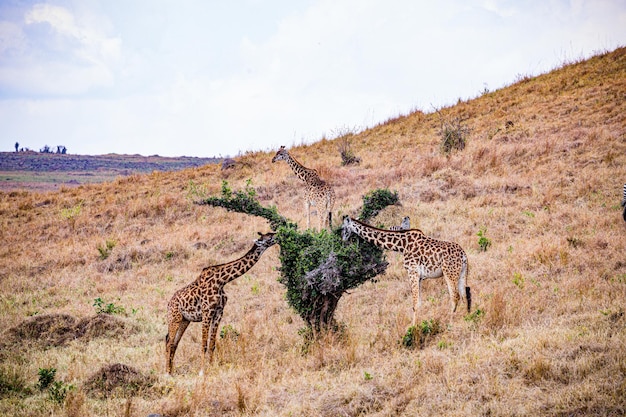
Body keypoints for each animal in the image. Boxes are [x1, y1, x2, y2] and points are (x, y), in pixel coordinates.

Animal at [165, 231, 274, 374]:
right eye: (269, 237)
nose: (278, 236)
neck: (222, 281)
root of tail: (168, 304)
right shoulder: (207, 312)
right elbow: (204, 344)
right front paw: (202, 371)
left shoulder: (218, 312)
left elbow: (212, 344)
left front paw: (211, 367)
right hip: (174, 318)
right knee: (169, 341)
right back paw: (166, 372)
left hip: (184, 320)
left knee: (174, 343)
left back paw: (171, 371)